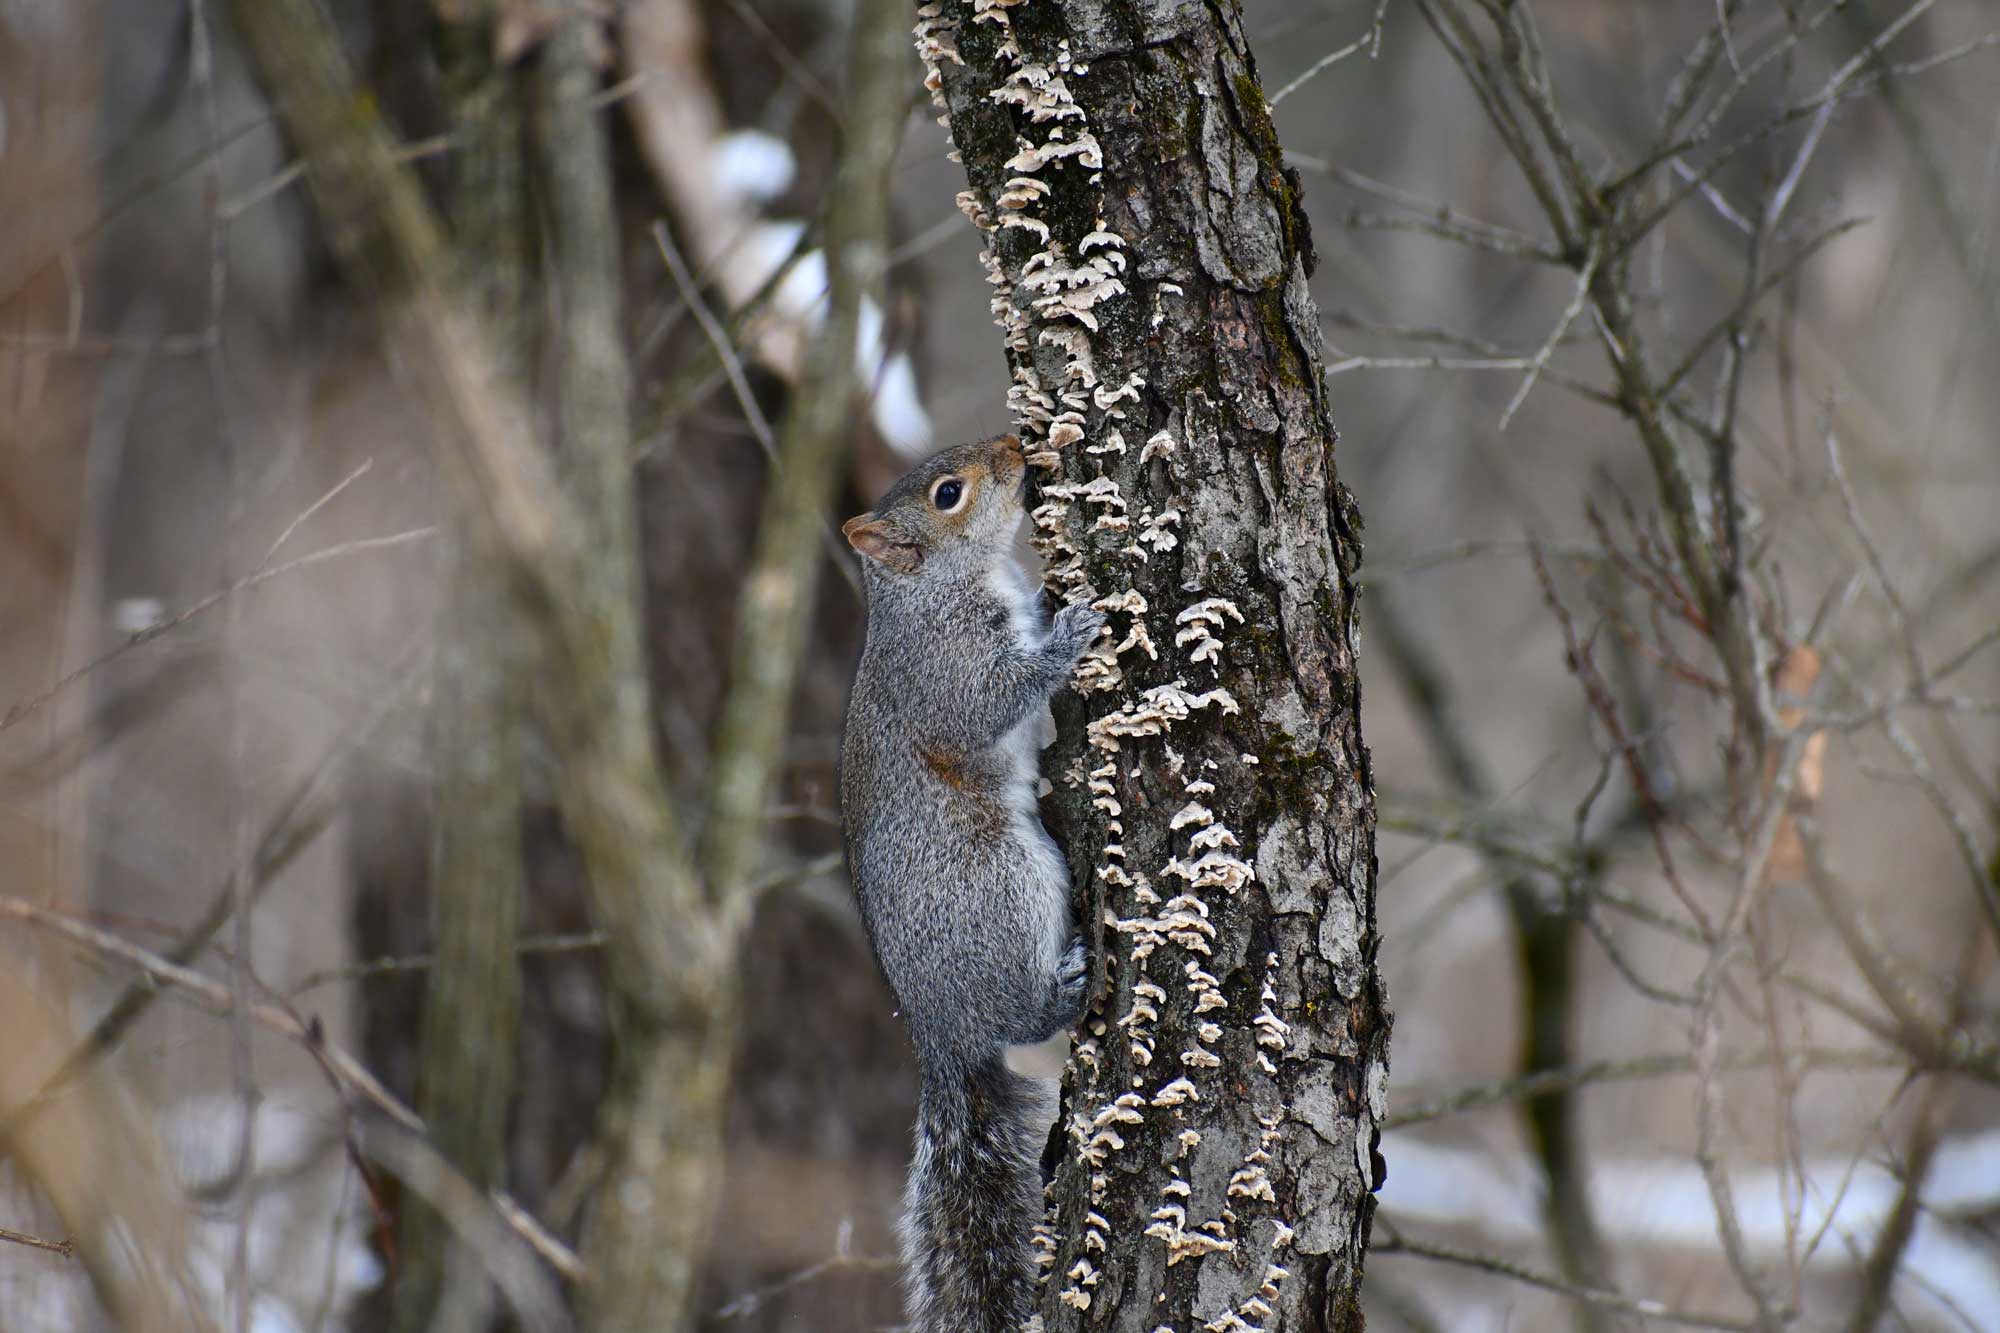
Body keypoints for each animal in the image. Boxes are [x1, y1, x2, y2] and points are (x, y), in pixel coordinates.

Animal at [838, 432, 1106, 1333]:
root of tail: (942, 1032)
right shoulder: (946, 668)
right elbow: (989, 702)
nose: (1017, 444)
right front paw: (1071, 631)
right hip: (999, 882)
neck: (930, 590)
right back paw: (1066, 985)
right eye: (949, 494)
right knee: (1025, 1016)